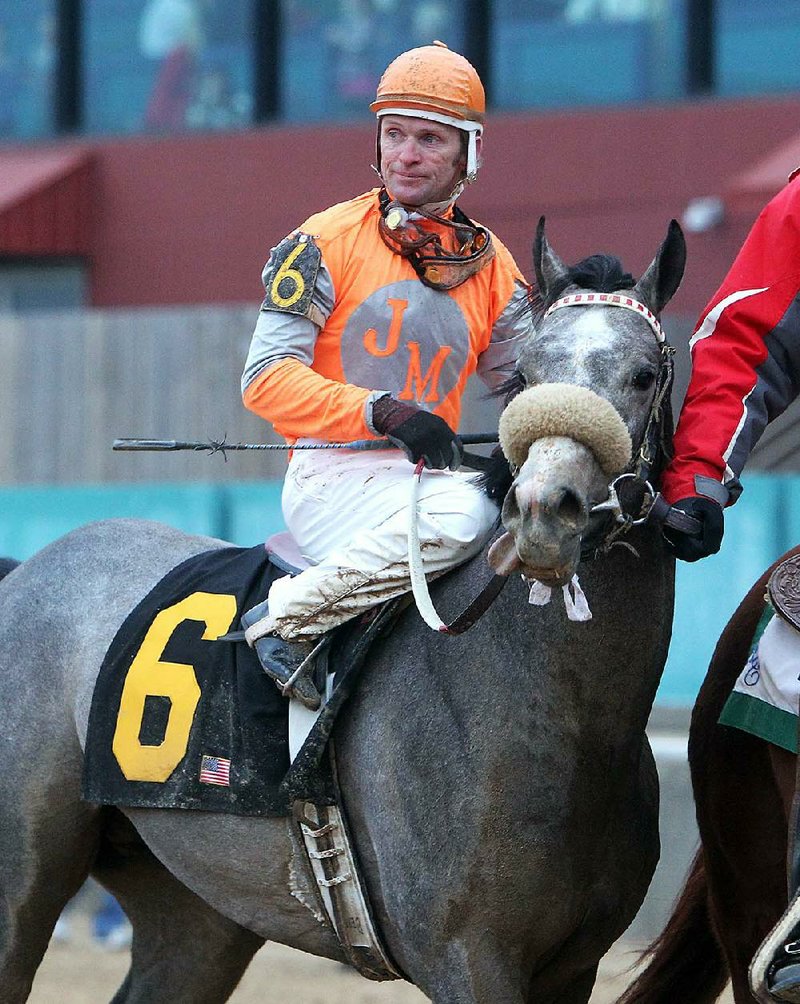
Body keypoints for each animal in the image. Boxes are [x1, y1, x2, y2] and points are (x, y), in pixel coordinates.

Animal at [0, 221, 686, 1003]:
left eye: (642, 374)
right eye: (527, 375)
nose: (546, 510)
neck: (563, 717)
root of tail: (30, 569)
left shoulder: (574, 964)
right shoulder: (468, 959)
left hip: (194, 901)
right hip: (21, 880)